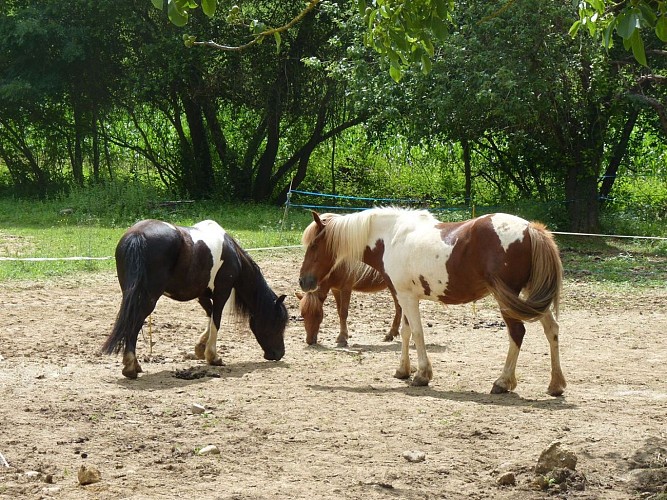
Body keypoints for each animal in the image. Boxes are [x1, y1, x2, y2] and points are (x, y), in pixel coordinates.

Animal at [298, 213, 402, 346]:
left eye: (318, 314)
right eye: (302, 315)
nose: (310, 341)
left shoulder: (346, 288)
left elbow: (344, 312)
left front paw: (342, 337)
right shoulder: (335, 289)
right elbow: (339, 311)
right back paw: (392, 333)